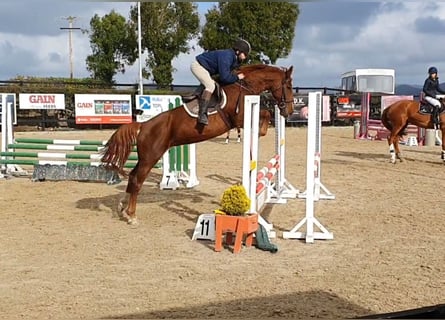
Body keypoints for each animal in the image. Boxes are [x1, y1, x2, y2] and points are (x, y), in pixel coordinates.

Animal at [101, 63, 294, 224]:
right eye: (289, 86)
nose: (289, 111)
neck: (244, 85)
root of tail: (143, 125)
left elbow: (266, 113)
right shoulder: (239, 118)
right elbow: (265, 113)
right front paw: (260, 132)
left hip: (145, 157)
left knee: (132, 177)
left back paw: (123, 208)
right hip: (151, 157)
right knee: (137, 180)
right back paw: (132, 215)